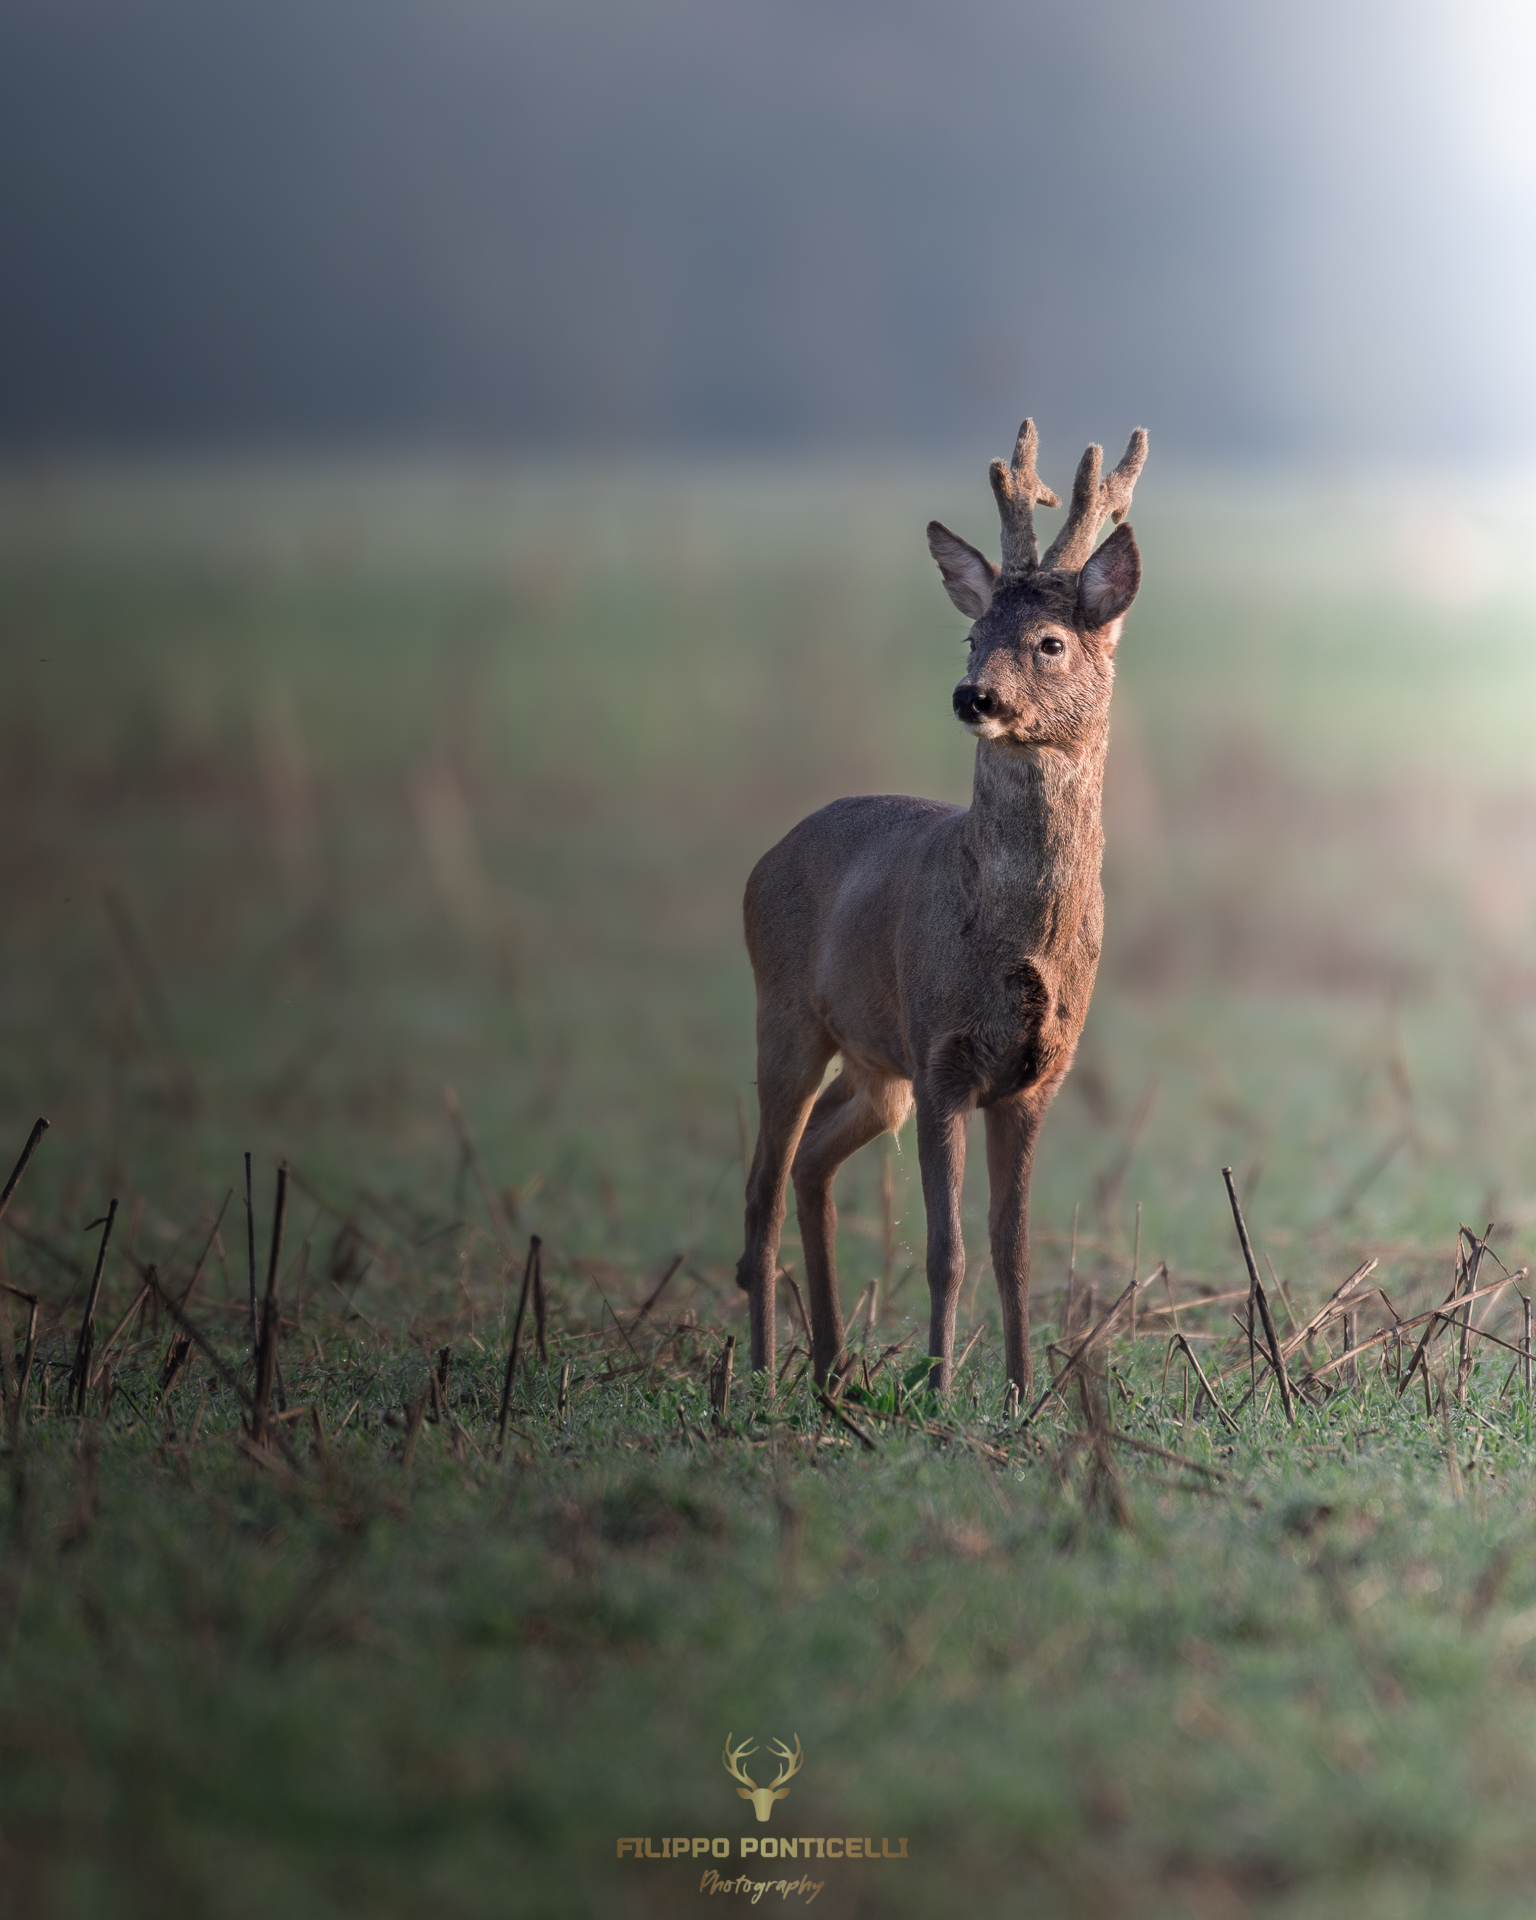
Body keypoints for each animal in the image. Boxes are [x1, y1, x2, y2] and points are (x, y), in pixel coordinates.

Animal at [734, 416, 1147, 1399]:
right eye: (971, 637)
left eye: (1050, 641)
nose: (974, 695)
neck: (1017, 938)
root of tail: (762, 862)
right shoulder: (940, 1058)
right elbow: (946, 1249)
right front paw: (940, 1387)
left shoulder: (1034, 1077)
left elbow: (1015, 1252)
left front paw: (1023, 1392)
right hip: (787, 1013)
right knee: (761, 1186)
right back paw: (762, 1374)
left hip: (873, 1067)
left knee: (811, 1161)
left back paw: (831, 1365)